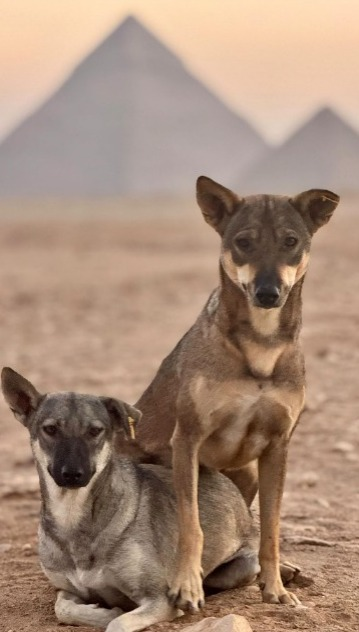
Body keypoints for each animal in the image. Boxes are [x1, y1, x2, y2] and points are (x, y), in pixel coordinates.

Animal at [0, 368, 258, 628]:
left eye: (95, 431)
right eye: (50, 429)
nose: (73, 474)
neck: (73, 515)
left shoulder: (159, 598)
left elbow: (119, 623)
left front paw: (112, 615)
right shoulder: (66, 589)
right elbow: (62, 608)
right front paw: (104, 612)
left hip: (243, 566)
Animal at [136, 178, 340, 612]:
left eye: (291, 241)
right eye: (244, 242)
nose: (268, 292)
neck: (260, 345)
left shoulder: (278, 447)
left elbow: (270, 528)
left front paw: (275, 587)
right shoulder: (187, 440)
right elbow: (192, 525)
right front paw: (187, 585)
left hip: (247, 474)